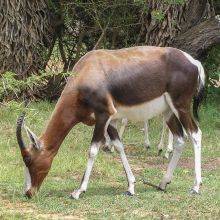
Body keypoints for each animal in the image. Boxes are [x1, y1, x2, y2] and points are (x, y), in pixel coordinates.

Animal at [15, 45, 205, 199]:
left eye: (28, 159)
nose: (28, 192)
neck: (89, 69)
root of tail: (194, 62)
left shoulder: (103, 115)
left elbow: (92, 150)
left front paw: (78, 191)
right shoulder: (111, 121)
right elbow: (119, 146)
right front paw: (130, 187)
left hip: (181, 106)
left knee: (195, 134)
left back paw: (196, 187)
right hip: (168, 112)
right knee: (180, 139)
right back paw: (163, 183)